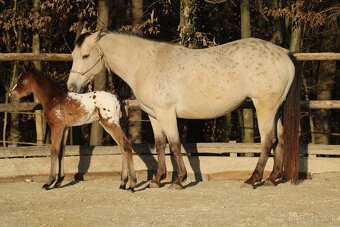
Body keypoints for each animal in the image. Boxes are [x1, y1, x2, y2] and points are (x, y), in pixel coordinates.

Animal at [66, 30, 300, 190]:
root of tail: (284, 53)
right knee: (280, 140)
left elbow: (175, 144)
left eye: (85, 56)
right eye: (74, 55)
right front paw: (157, 179)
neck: (146, 64)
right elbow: (161, 145)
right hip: (275, 109)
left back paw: (253, 179)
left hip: (264, 107)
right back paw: (271, 179)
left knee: (268, 141)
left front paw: (178, 180)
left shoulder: (166, 113)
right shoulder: (154, 115)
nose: (71, 87)